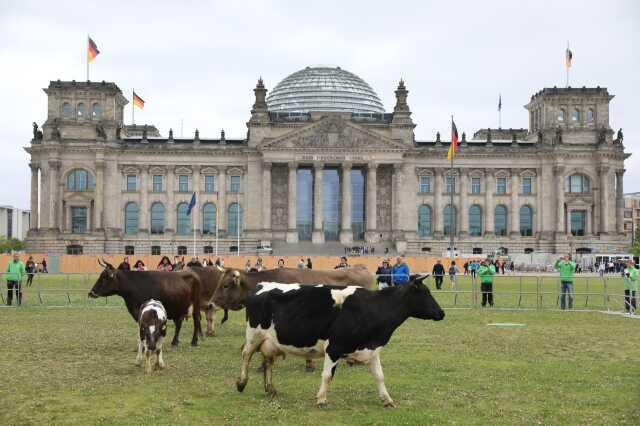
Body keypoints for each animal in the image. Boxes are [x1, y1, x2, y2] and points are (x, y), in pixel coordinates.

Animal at [236, 274, 444, 408]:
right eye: (425, 293)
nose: (442, 313)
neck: (373, 309)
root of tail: (261, 285)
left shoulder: (372, 349)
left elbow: (380, 376)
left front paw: (387, 400)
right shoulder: (334, 347)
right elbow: (327, 376)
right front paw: (321, 400)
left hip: (270, 341)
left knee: (268, 362)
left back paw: (270, 389)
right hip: (254, 334)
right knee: (245, 355)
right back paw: (241, 383)